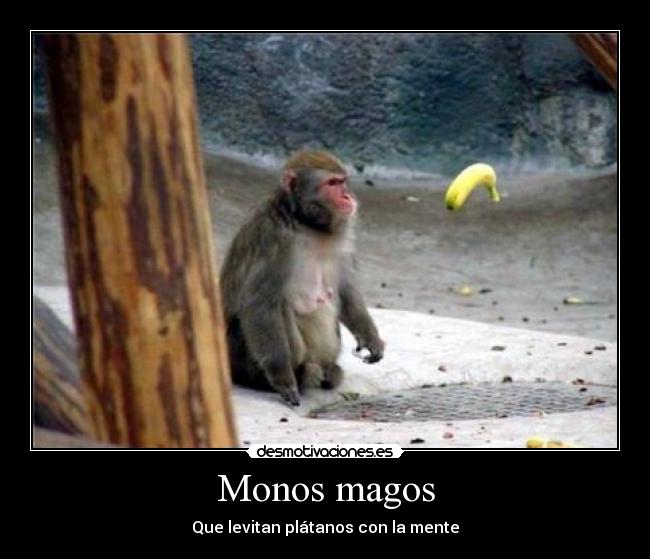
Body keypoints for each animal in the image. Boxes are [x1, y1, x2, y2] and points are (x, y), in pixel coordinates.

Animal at [220, 150, 385, 406]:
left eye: (342, 181)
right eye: (332, 184)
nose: (347, 196)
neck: (305, 223)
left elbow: (345, 289)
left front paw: (370, 338)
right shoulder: (274, 240)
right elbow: (259, 303)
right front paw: (282, 379)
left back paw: (329, 371)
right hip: (241, 359)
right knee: (278, 307)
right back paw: (295, 375)